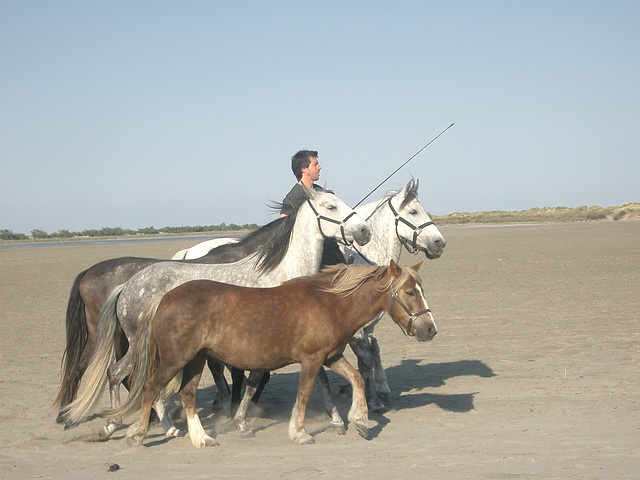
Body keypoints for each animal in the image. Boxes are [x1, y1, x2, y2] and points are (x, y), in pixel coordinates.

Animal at [112, 260, 438, 448]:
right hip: (175, 359)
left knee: (187, 394)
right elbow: (304, 395)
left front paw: (359, 421)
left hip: (196, 359)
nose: (430, 329)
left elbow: (357, 377)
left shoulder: (330, 357)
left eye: (421, 289)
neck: (330, 303)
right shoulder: (311, 359)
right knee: (150, 388)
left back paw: (201, 438)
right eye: (410, 292)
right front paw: (300, 433)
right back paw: (138, 435)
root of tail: (164, 298)